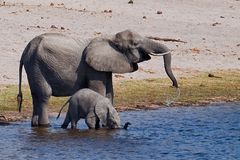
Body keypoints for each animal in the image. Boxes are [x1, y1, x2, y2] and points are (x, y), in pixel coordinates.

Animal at [16, 29, 177, 126]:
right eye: (135, 44)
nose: (174, 85)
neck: (110, 39)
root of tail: (25, 50)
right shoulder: (92, 68)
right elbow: (98, 91)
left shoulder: (106, 65)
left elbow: (110, 93)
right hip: (37, 64)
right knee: (44, 95)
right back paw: (45, 125)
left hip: (33, 67)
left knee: (37, 95)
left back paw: (36, 125)